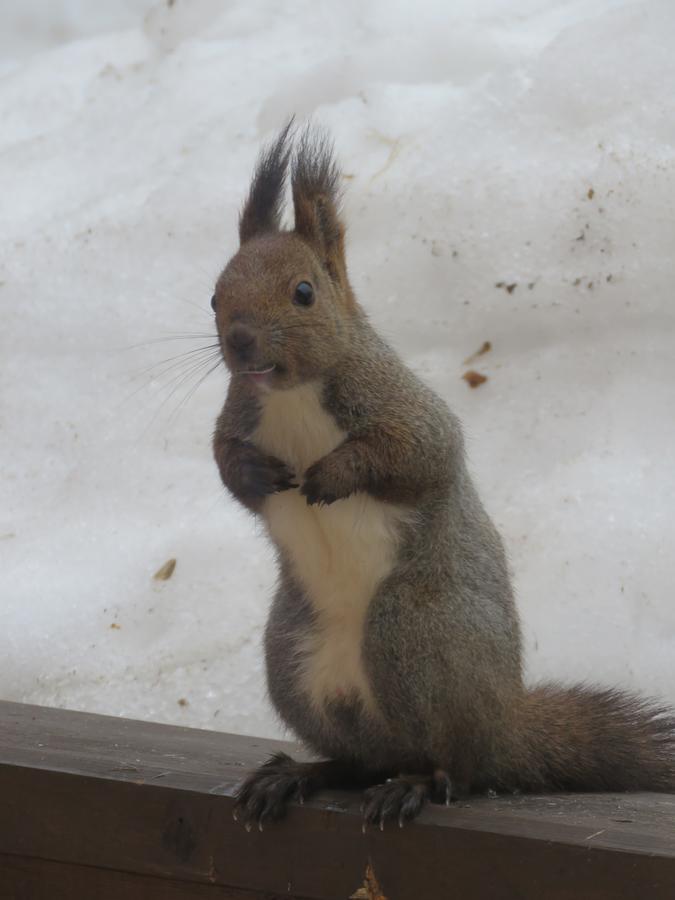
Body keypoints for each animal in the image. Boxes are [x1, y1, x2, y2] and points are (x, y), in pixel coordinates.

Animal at [211, 121, 675, 828]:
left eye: (303, 292)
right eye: (213, 294)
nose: (238, 341)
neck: (292, 398)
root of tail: (507, 725)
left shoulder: (406, 409)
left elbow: (417, 455)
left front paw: (332, 474)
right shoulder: (239, 415)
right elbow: (225, 463)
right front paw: (257, 472)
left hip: (414, 637)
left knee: (458, 766)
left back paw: (418, 785)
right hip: (292, 659)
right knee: (360, 760)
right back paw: (302, 774)